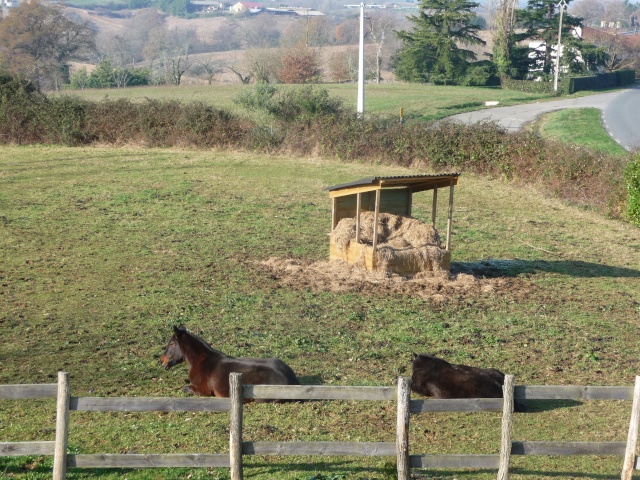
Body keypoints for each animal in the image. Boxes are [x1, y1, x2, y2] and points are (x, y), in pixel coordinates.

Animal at [160, 324, 300, 400]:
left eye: (172, 343)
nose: (162, 361)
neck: (201, 362)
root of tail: (293, 382)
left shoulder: (202, 391)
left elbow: (186, 388)